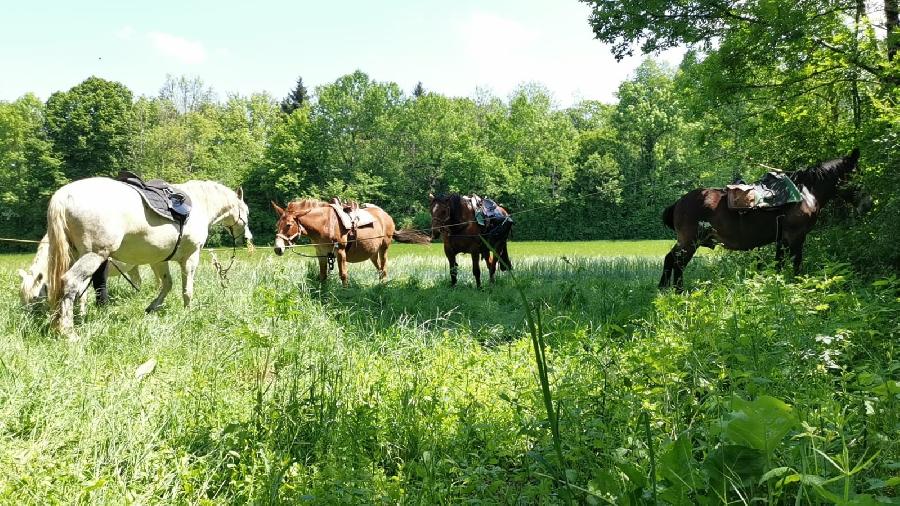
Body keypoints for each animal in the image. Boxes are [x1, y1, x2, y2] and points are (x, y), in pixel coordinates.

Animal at [46, 178, 253, 336]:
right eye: (247, 212)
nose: (247, 237)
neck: (200, 204)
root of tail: (63, 196)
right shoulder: (190, 257)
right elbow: (187, 289)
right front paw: (188, 312)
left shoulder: (159, 260)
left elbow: (167, 284)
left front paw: (152, 307)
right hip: (93, 255)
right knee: (71, 283)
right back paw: (68, 331)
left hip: (74, 255)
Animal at [272, 201, 430, 288]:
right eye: (277, 225)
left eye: (288, 225)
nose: (278, 249)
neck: (325, 224)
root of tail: (386, 215)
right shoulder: (321, 253)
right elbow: (322, 275)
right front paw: (322, 292)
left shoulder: (340, 252)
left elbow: (343, 275)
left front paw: (345, 292)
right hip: (372, 253)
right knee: (379, 270)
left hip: (383, 249)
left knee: (384, 269)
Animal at [656, 148, 860, 290]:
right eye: (858, 172)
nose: (864, 202)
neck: (805, 192)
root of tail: (679, 202)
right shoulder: (796, 237)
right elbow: (796, 263)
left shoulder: (782, 239)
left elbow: (779, 264)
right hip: (690, 242)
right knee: (678, 263)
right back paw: (679, 291)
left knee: (670, 259)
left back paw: (664, 290)